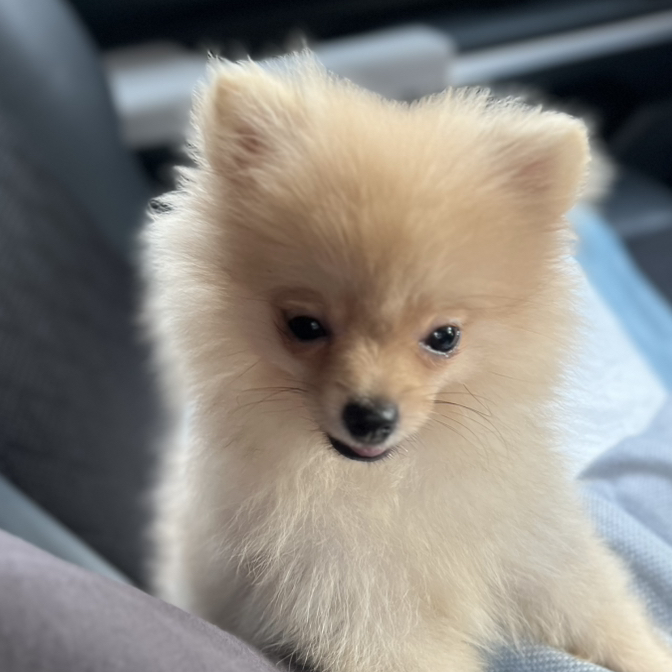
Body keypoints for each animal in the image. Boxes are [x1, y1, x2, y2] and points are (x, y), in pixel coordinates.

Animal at [141, 54, 672, 672]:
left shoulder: (541, 554)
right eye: (305, 327)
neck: (395, 482)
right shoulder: (360, 608)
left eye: (444, 337)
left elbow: (603, 616)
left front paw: (649, 655)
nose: (370, 417)